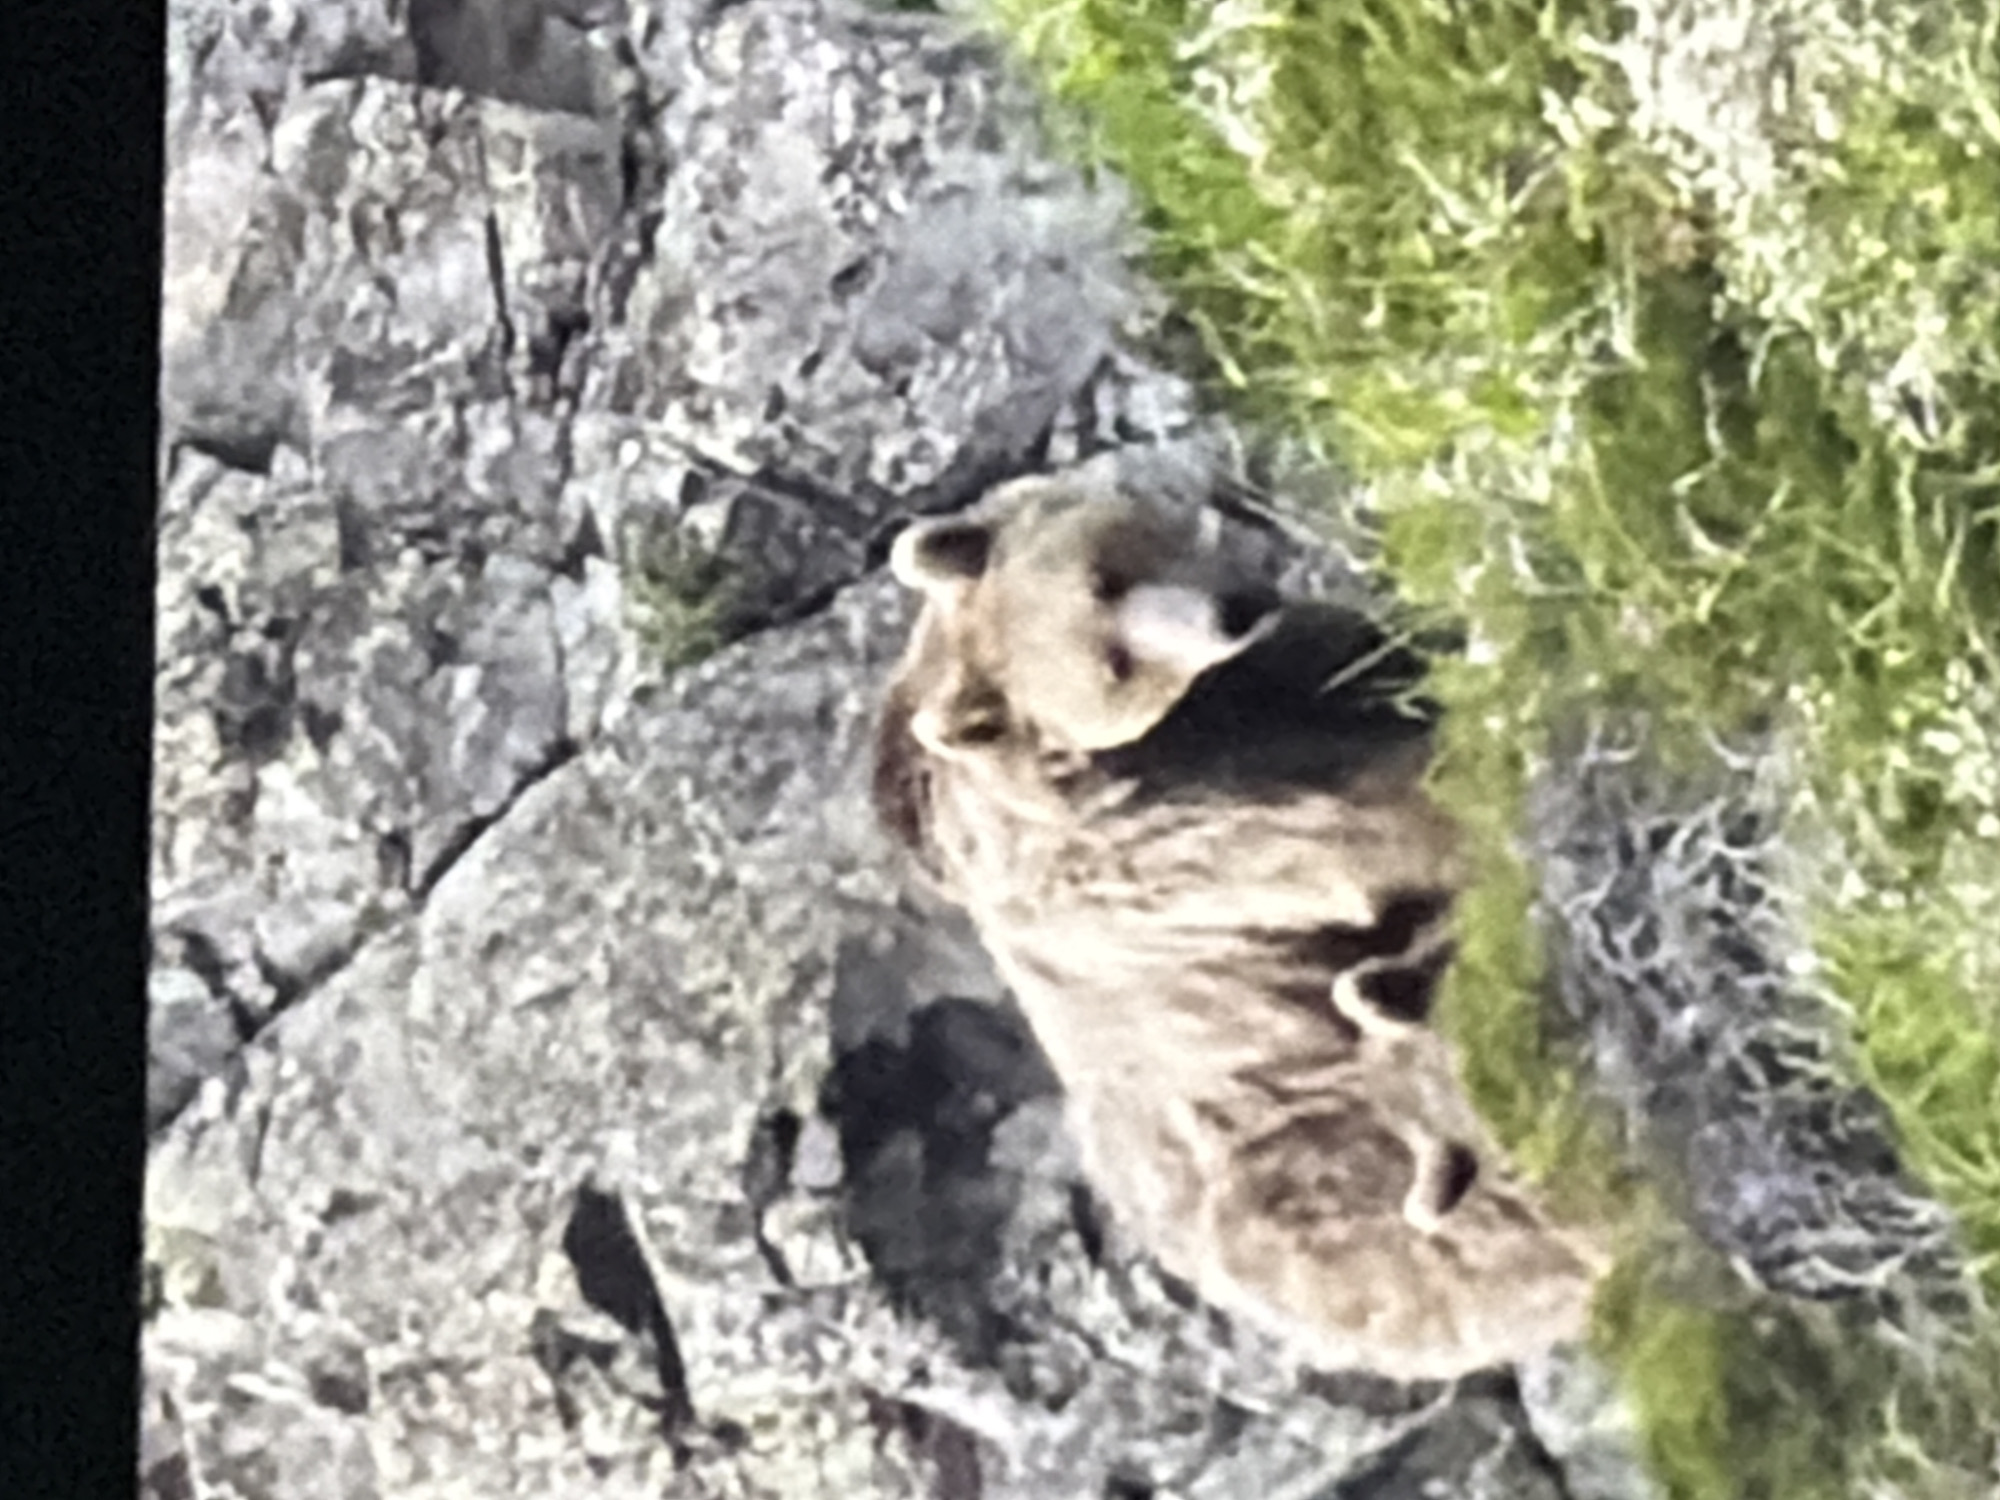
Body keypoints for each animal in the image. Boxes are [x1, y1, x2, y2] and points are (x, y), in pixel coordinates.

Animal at [872, 460, 1607, 1382]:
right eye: (1114, 659)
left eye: (1107, 574)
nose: (1235, 609)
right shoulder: (1187, 850)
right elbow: (1385, 826)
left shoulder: (1280, 687)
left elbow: (1384, 671)